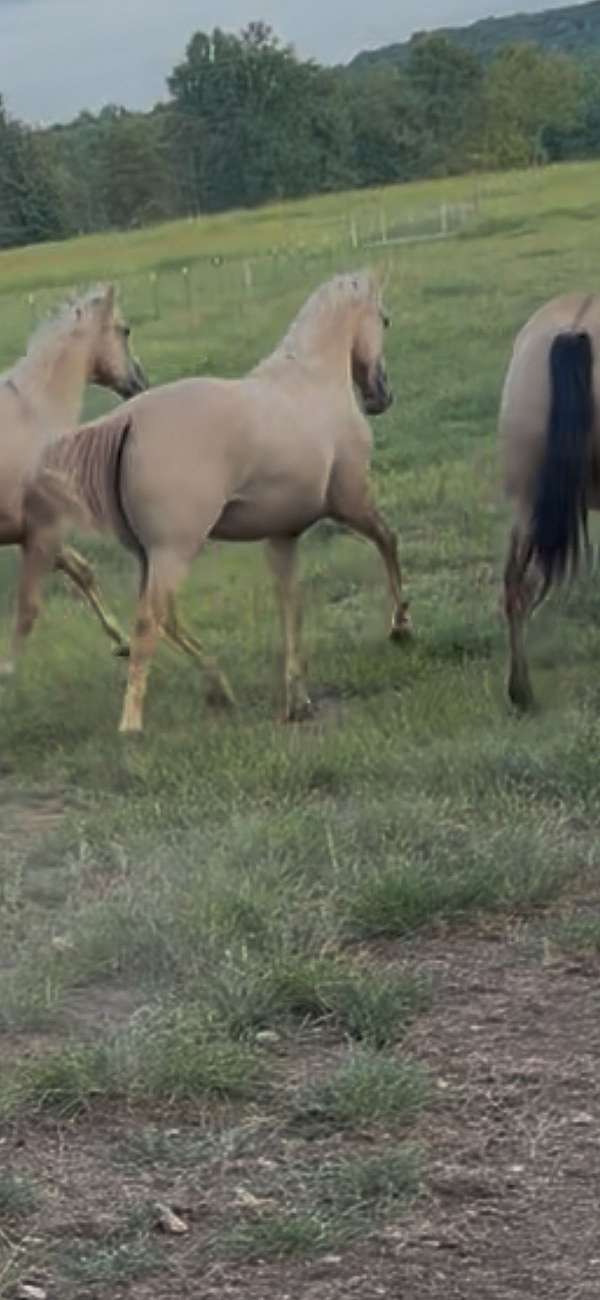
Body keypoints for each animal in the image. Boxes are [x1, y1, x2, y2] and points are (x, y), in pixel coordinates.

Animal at [0, 284, 147, 671]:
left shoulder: (38, 532)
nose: (140, 382)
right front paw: (8, 671)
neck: (35, 416)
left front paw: (122, 642)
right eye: (125, 330)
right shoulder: (43, 532)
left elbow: (82, 572)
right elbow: (28, 609)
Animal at [21, 269, 411, 734]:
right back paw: (133, 723)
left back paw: (218, 688)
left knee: (165, 618)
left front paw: (297, 700)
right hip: (174, 551)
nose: (381, 396)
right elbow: (388, 541)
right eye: (384, 319)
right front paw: (400, 626)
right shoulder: (351, 501)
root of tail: (126, 422)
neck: (312, 381)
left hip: (147, 555)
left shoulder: (283, 535)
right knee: (150, 622)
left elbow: (290, 605)